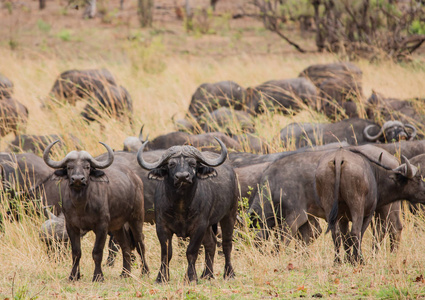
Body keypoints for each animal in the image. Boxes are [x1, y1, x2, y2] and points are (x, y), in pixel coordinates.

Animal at [42, 141, 148, 282]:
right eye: (69, 167)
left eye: (87, 167)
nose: (77, 179)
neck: (81, 205)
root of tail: (136, 179)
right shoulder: (71, 226)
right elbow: (76, 252)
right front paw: (73, 276)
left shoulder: (101, 226)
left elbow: (97, 252)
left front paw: (98, 276)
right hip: (117, 226)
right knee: (125, 246)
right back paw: (125, 273)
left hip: (136, 218)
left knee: (140, 243)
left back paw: (145, 272)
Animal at [137, 138, 237, 284]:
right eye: (171, 164)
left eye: (193, 163)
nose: (183, 177)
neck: (180, 205)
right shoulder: (162, 226)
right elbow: (166, 252)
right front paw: (161, 278)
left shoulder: (199, 226)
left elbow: (191, 251)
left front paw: (190, 277)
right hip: (209, 226)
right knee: (211, 243)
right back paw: (207, 274)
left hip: (230, 214)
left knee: (226, 244)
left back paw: (229, 274)